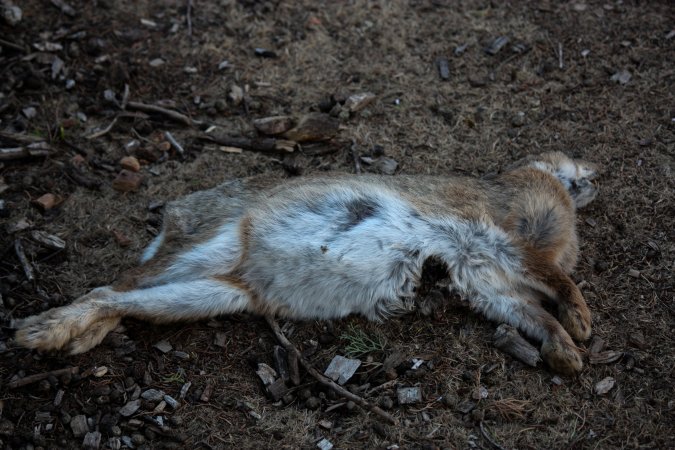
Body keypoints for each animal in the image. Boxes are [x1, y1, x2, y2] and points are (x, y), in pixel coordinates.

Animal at [14, 151, 598, 375]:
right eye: (567, 163)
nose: (590, 176)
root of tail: (172, 223)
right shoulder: (504, 242)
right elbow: (557, 279)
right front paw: (583, 326)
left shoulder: (487, 279)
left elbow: (532, 312)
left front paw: (567, 354)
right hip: (215, 244)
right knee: (110, 287)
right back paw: (39, 333)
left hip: (214, 292)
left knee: (121, 297)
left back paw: (71, 338)